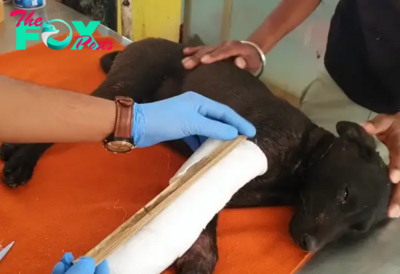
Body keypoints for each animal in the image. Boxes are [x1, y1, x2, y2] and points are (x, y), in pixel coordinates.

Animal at [0, 37, 392, 272]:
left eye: (355, 230)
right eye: (344, 193)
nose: (308, 245)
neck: (306, 156)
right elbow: (205, 217)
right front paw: (200, 254)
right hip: (127, 85)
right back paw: (20, 161)